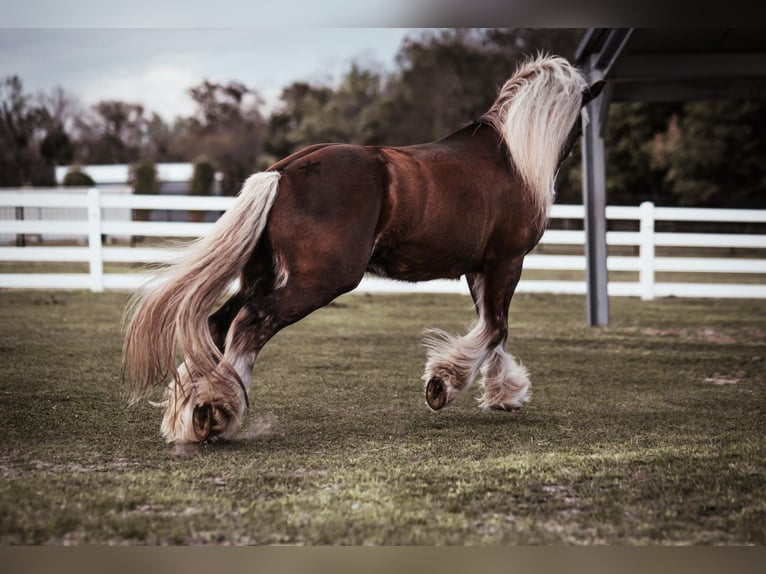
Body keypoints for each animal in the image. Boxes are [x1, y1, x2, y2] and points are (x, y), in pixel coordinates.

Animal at [120, 55, 608, 446]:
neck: (509, 161)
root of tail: (283, 172)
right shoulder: (507, 261)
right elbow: (494, 328)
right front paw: (445, 385)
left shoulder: (479, 268)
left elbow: (491, 328)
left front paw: (501, 391)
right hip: (318, 281)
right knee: (250, 323)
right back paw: (216, 411)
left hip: (263, 275)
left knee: (218, 323)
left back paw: (194, 411)